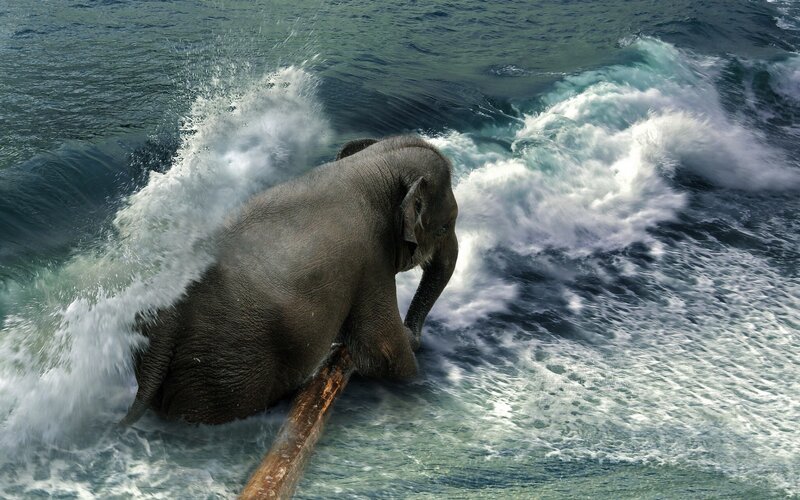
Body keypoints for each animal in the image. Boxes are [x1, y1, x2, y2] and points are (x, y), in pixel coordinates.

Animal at [122, 135, 459, 425]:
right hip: (223, 372)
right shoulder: (372, 262)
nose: (414, 335)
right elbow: (382, 349)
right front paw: (415, 380)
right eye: (445, 227)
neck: (369, 165)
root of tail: (166, 324)